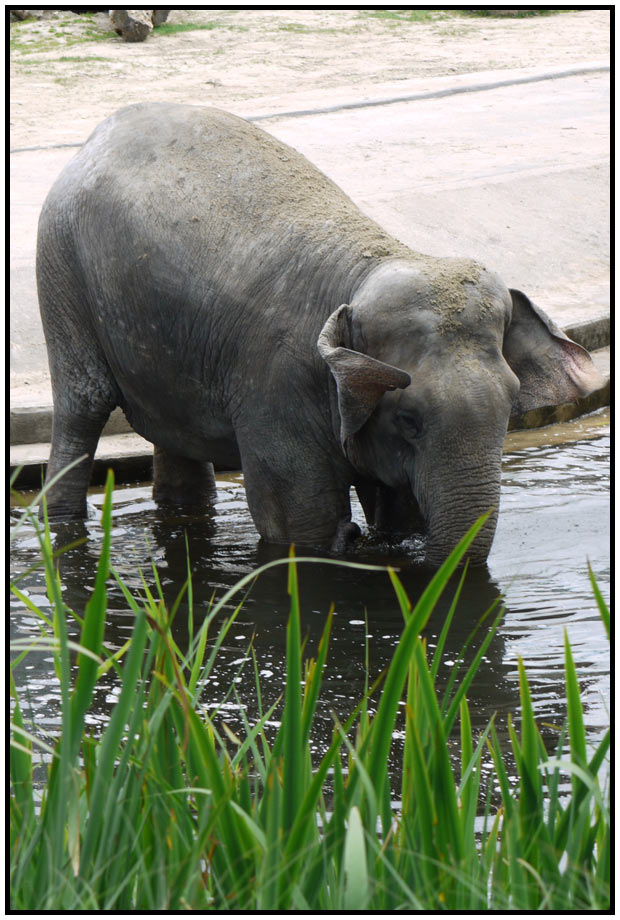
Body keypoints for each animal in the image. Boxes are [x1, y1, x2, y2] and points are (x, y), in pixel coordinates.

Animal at [35, 100, 604, 560]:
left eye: (510, 409)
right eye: (409, 420)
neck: (373, 263)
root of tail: (101, 131)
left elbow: (395, 513)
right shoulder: (275, 386)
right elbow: (300, 528)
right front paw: (340, 540)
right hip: (60, 266)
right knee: (84, 405)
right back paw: (60, 525)